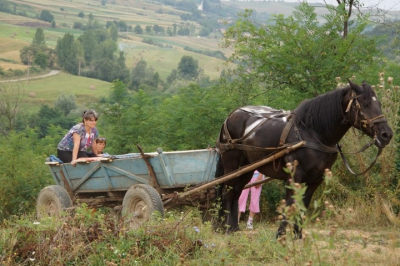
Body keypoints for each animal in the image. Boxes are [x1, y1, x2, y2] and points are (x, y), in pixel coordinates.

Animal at [216, 79, 394, 237]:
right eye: (365, 104)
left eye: (379, 104)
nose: (386, 135)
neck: (313, 133)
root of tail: (231, 116)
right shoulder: (294, 176)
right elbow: (290, 204)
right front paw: (280, 235)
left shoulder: (316, 179)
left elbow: (303, 205)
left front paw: (298, 235)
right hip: (232, 164)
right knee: (228, 193)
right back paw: (228, 229)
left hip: (247, 168)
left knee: (237, 192)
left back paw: (234, 228)